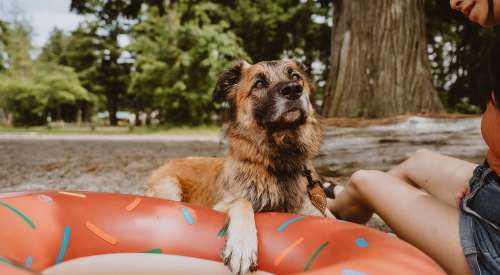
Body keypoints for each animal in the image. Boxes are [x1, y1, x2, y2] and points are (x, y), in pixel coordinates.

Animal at [145, 60, 334, 275]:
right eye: (259, 83)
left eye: (295, 77)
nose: (294, 90)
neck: (279, 162)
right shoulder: (222, 204)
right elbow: (243, 203)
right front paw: (242, 247)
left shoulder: (316, 212)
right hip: (170, 187)